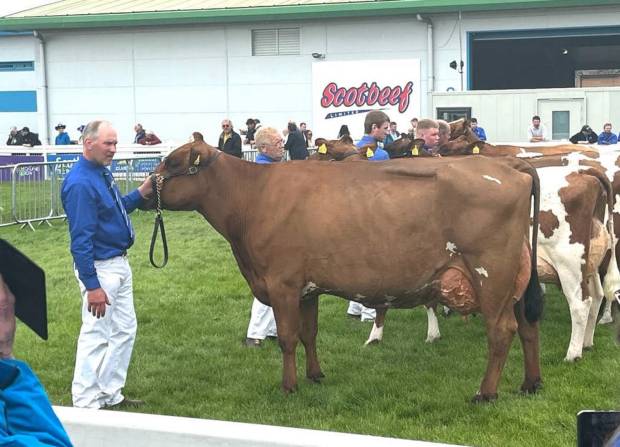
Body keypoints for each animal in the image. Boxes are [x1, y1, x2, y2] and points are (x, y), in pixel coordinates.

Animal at [145, 144, 544, 402]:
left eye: (172, 162)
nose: (144, 190)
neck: (253, 195)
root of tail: (509, 165)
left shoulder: (282, 283)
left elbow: (287, 338)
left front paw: (289, 387)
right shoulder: (306, 288)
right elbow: (308, 334)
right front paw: (315, 375)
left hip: (491, 275)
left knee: (501, 331)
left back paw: (486, 393)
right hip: (517, 279)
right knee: (528, 326)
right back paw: (530, 384)